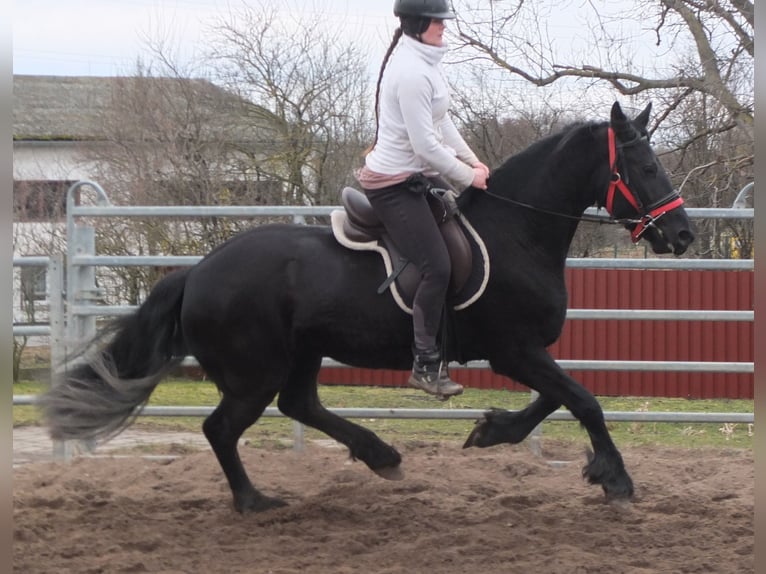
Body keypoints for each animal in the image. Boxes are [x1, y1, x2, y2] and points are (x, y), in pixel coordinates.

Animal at [43, 102, 696, 512]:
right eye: (645, 165)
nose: (683, 234)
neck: (517, 233)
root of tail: (199, 271)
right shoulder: (514, 350)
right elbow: (583, 401)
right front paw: (616, 480)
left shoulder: (521, 353)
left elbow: (556, 400)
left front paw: (491, 431)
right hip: (254, 372)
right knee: (222, 427)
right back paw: (255, 501)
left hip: (301, 354)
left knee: (300, 404)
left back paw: (379, 455)